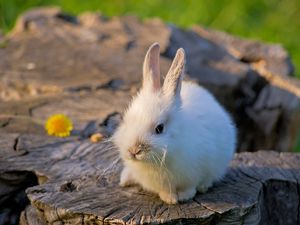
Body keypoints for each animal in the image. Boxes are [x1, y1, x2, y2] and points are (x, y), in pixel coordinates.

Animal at [113, 42, 237, 204]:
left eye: (159, 128)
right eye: (125, 120)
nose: (134, 151)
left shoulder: (193, 174)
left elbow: (190, 187)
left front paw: (184, 197)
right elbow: (165, 190)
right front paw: (169, 198)